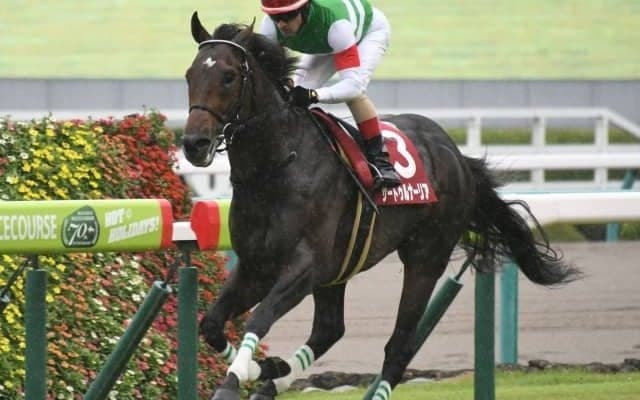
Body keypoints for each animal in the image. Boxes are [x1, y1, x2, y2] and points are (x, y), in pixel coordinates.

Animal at [182, 12, 580, 400]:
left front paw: (235, 382)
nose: (194, 144)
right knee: (330, 329)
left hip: (425, 258)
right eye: (190, 75)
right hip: (340, 267)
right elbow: (211, 324)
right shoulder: (257, 266)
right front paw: (263, 368)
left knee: (399, 347)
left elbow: (259, 318)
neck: (277, 167)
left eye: (229, 76)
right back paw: (272, 381)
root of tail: (455, 154)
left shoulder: (304, 267)